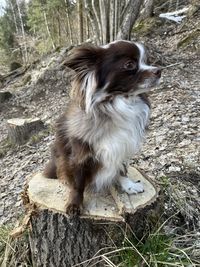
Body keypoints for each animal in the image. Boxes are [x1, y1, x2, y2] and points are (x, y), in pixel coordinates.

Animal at [43, 40, 161, 217]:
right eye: (129, 64)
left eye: (145, 61)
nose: (159, 71)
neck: (116, 105)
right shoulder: (79, 156)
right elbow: (77, 183)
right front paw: (74, 204)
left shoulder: (122, 147)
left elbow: (121, 170)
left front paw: (128, 186)